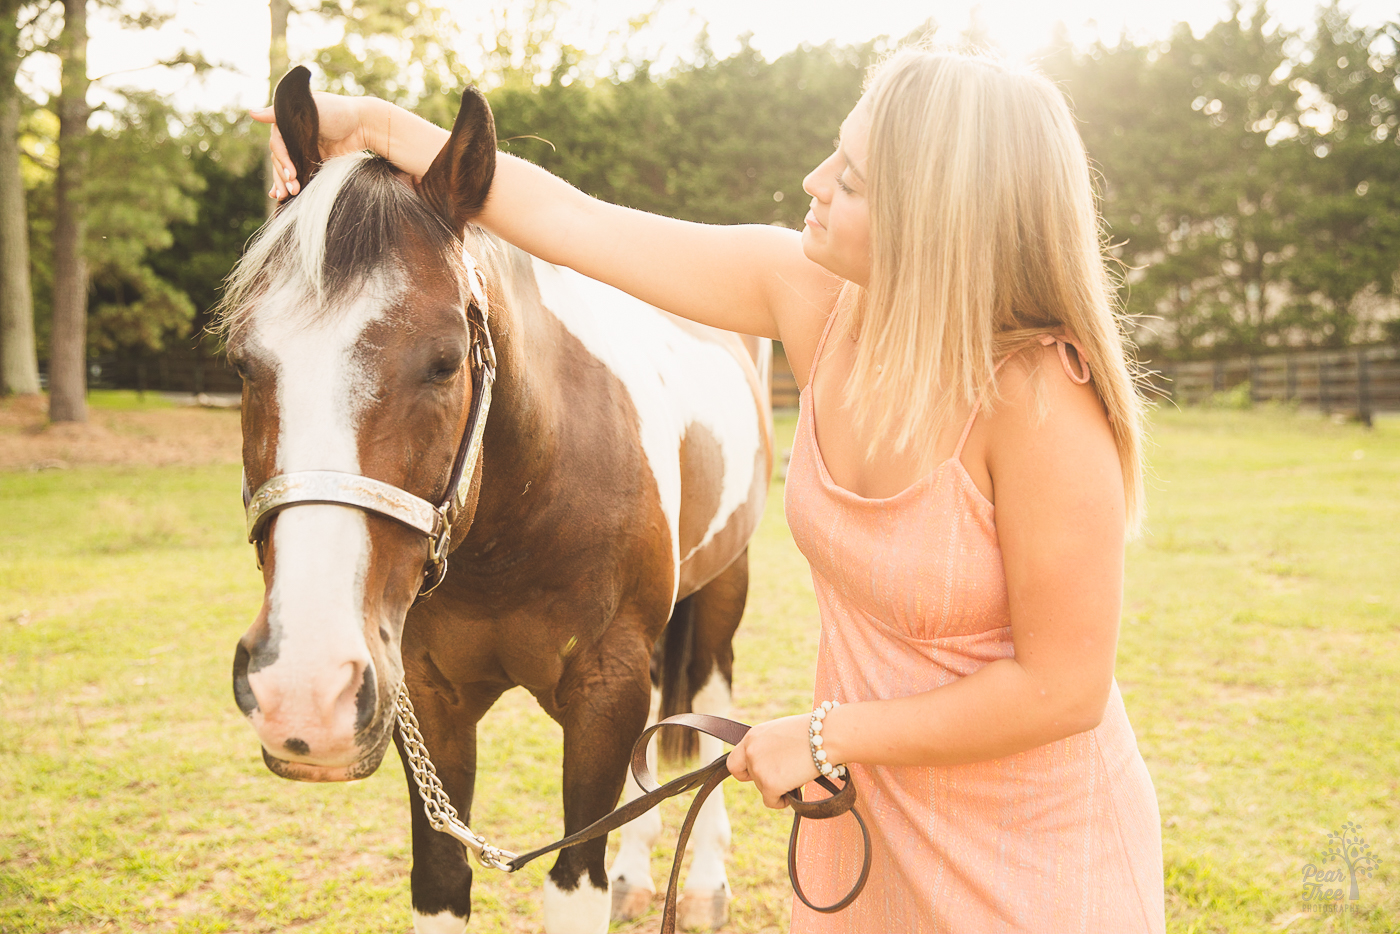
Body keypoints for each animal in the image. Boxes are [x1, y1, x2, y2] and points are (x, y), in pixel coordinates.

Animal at [218, 71, 772, 934]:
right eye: (244, 362)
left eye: (445, 362)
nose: (304, 692)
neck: (517, 526)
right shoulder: (429, 698)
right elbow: (444, 881)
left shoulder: (603, 691)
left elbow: (575, 879)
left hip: (722, 589)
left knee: (710, 709)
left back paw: (705, 883)